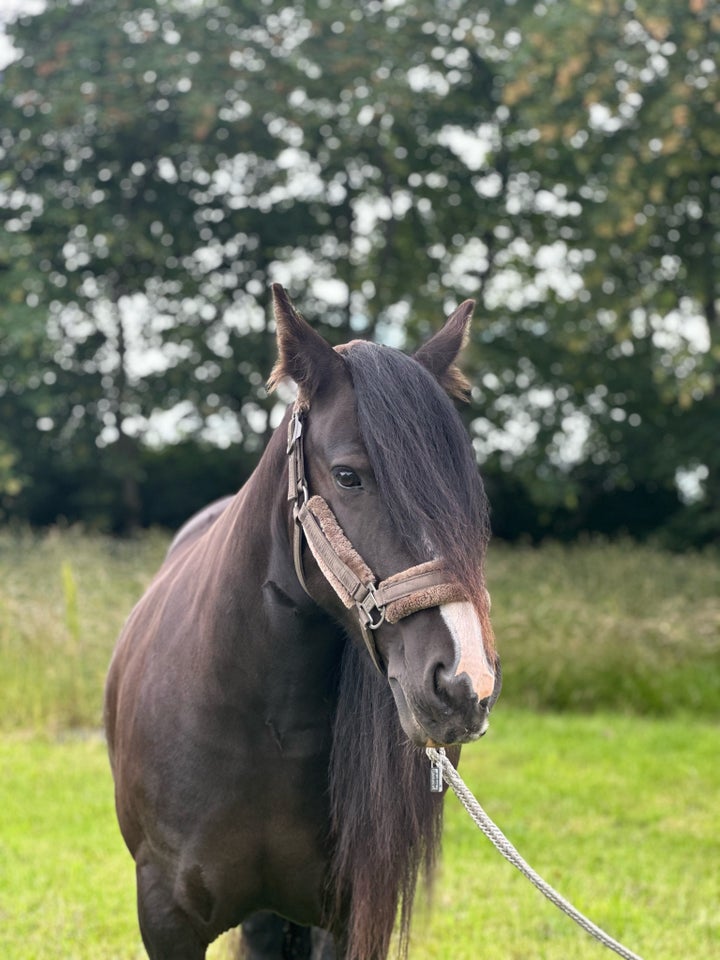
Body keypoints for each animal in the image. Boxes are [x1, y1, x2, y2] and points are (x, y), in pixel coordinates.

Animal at [104, 284, 504, 960]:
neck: (261, 721)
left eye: (471, 494)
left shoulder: (344, 915)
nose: (463, 684)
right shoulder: (165, 916)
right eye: (348, 476)